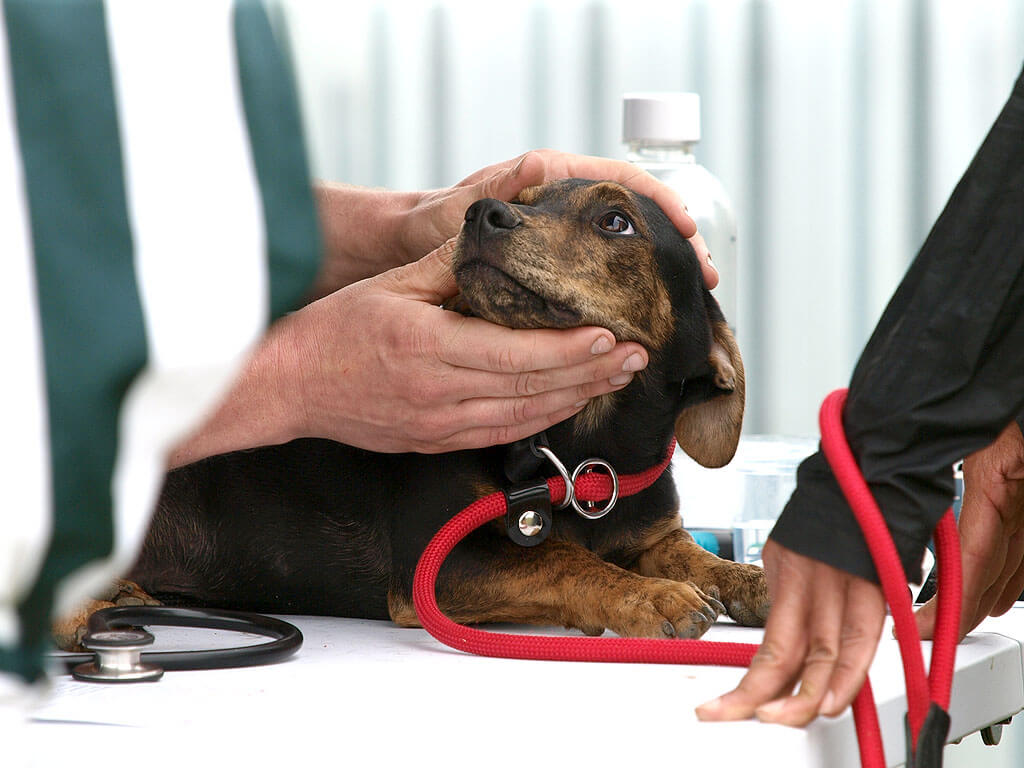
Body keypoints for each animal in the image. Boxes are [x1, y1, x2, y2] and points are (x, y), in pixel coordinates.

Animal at [76, 179, 768, 643]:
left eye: (616, 221)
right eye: (524, 196)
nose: (481, 212)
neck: (583, 459)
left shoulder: (652, 531)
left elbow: (691, 553)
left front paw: (751, 579)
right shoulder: (441, 566)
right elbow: (564, 559)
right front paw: (648, 598)